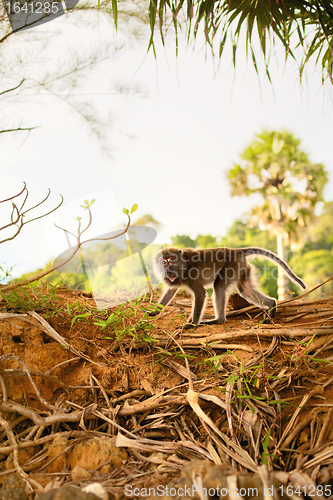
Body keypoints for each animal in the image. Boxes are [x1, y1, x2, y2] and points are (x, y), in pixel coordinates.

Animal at [149, 247, 304, 328]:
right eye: (164, 262)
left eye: (171, 260)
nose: (168, 269)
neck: (183, 264)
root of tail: (235, 251)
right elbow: (170, 291)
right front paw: (154, 312)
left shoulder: (191, 276)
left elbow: (200, 293)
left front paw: (192, 324)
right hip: (241, 267)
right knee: (245, 290)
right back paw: (271, 305)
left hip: (232, 266)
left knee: (219, 287)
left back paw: (218, 320)